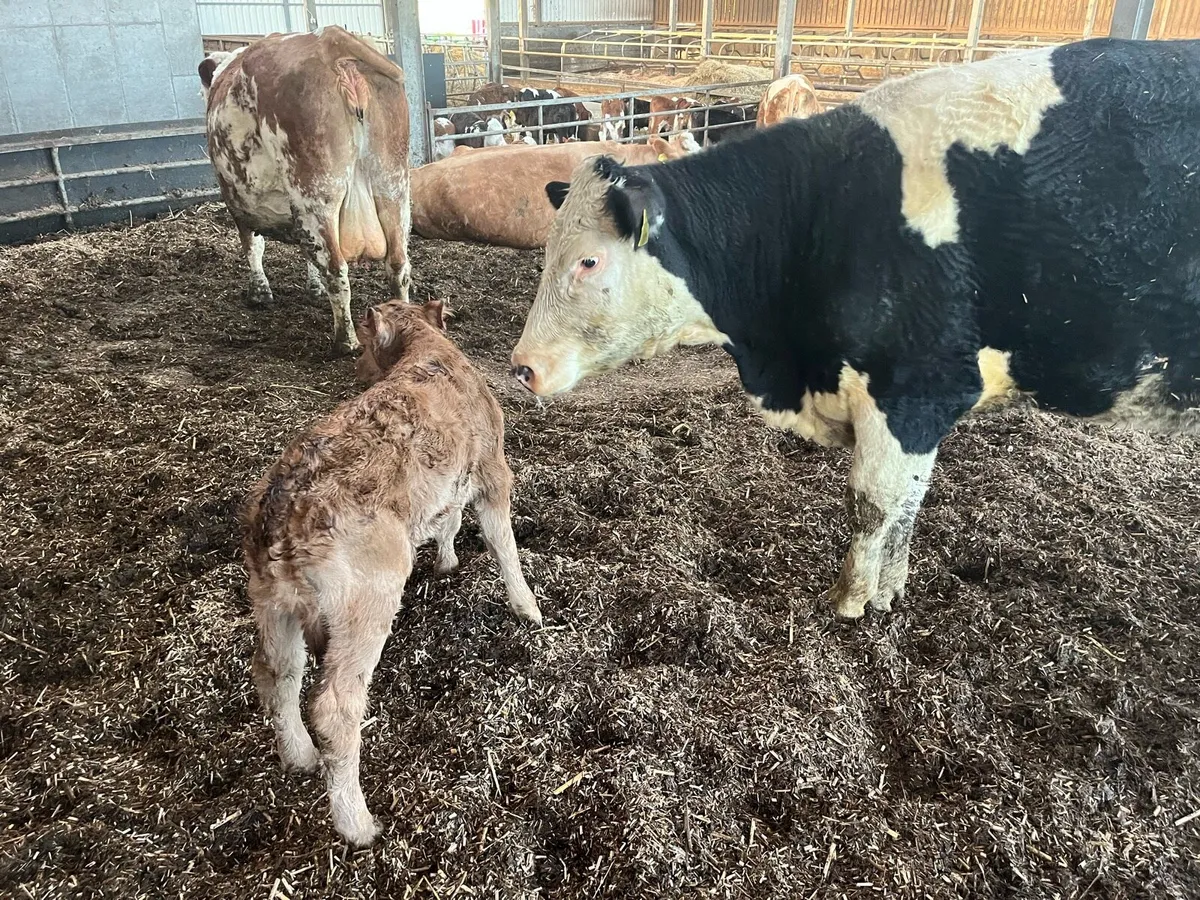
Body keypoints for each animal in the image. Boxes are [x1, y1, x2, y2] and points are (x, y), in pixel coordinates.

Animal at [199, 28, 411, 353]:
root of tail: (329, 41)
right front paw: (313, 289)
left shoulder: (236, 202)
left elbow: (253, 246)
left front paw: (259, 293)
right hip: (393, 186)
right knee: (398, 265)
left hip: (316, 194)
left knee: (336, 269)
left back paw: (345, 341)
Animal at [244, 299, 542, 847]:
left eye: (364, 344)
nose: (355, 367)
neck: (431, 350)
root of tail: (284, 515)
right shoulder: (493, 469)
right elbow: (503, 544)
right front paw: (528, 608)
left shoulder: (449, 483)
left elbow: (449, 519)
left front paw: (447, 561)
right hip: (368, 601)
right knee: (335, 708)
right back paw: (358, 824)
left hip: (272, 604)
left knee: (277, 673)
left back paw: (298, 756)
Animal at [510, 38, 1200, 621]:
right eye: (545, 252)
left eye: (588, 261)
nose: (522, 366)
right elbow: (908, 504)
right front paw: (888, 592)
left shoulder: (911, 391)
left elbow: (875, 503)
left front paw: (849, 600)